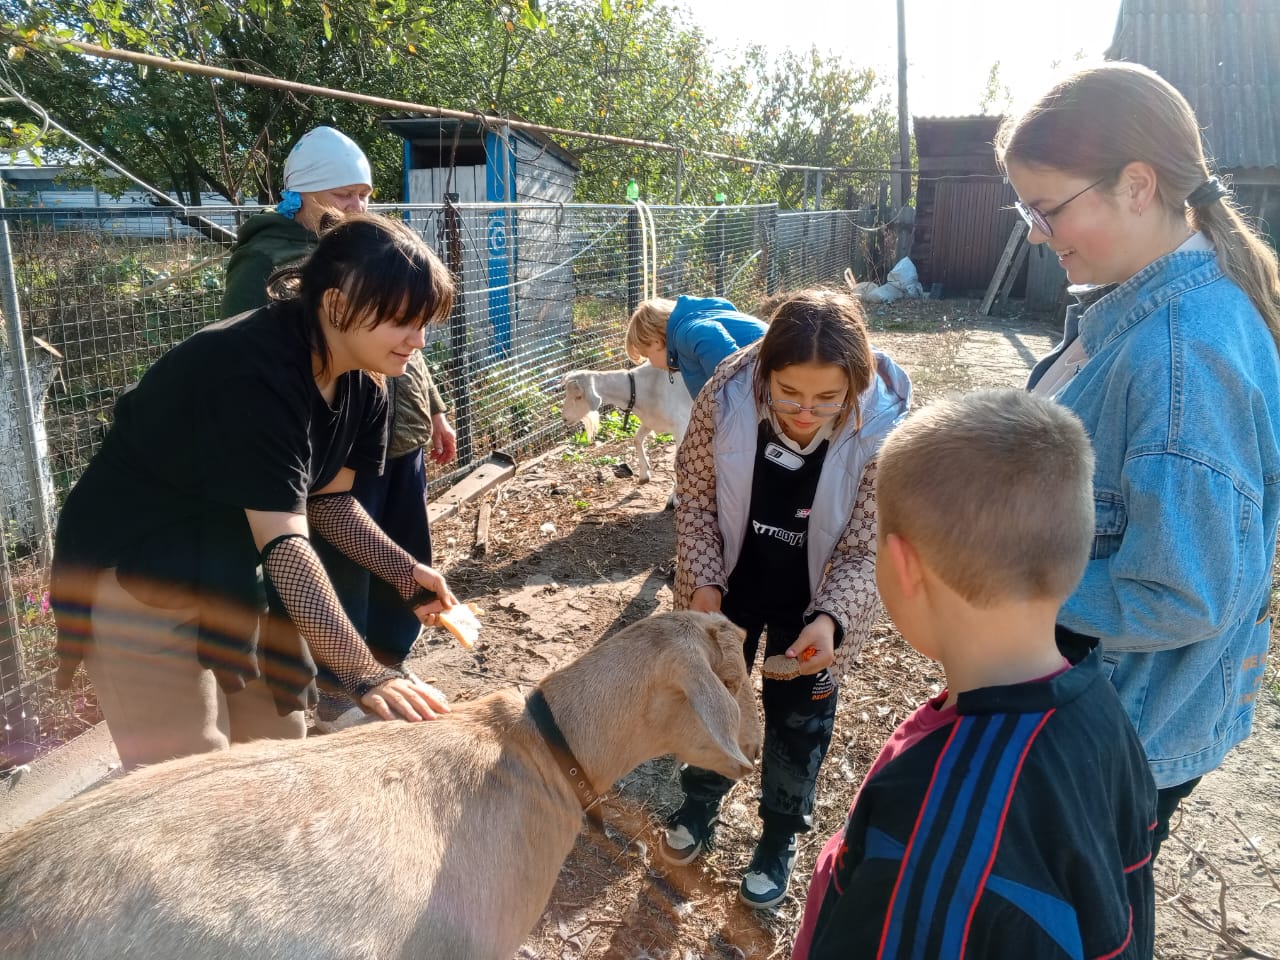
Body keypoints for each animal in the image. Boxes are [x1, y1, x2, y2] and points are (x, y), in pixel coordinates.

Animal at [560, 363, 691, 506]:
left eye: (579, 397)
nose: (565, 419)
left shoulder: (681, 425)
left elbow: (677, 461)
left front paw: (675, 497)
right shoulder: (650, 421)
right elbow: (637, 439)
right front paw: (644, 476)